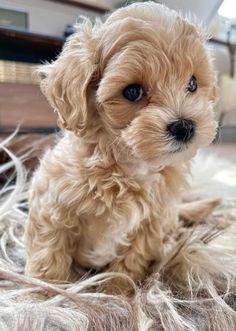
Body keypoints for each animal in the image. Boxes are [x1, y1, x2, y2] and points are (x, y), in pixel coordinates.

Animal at [24, 2, 219, 294]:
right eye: (133, 92)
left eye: (193, 84)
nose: (184, 126)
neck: (126, 167)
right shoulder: (52, 204)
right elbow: (49, 252)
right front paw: (42, 294)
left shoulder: (152, 222)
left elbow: (131, 260)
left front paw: (115, 293)